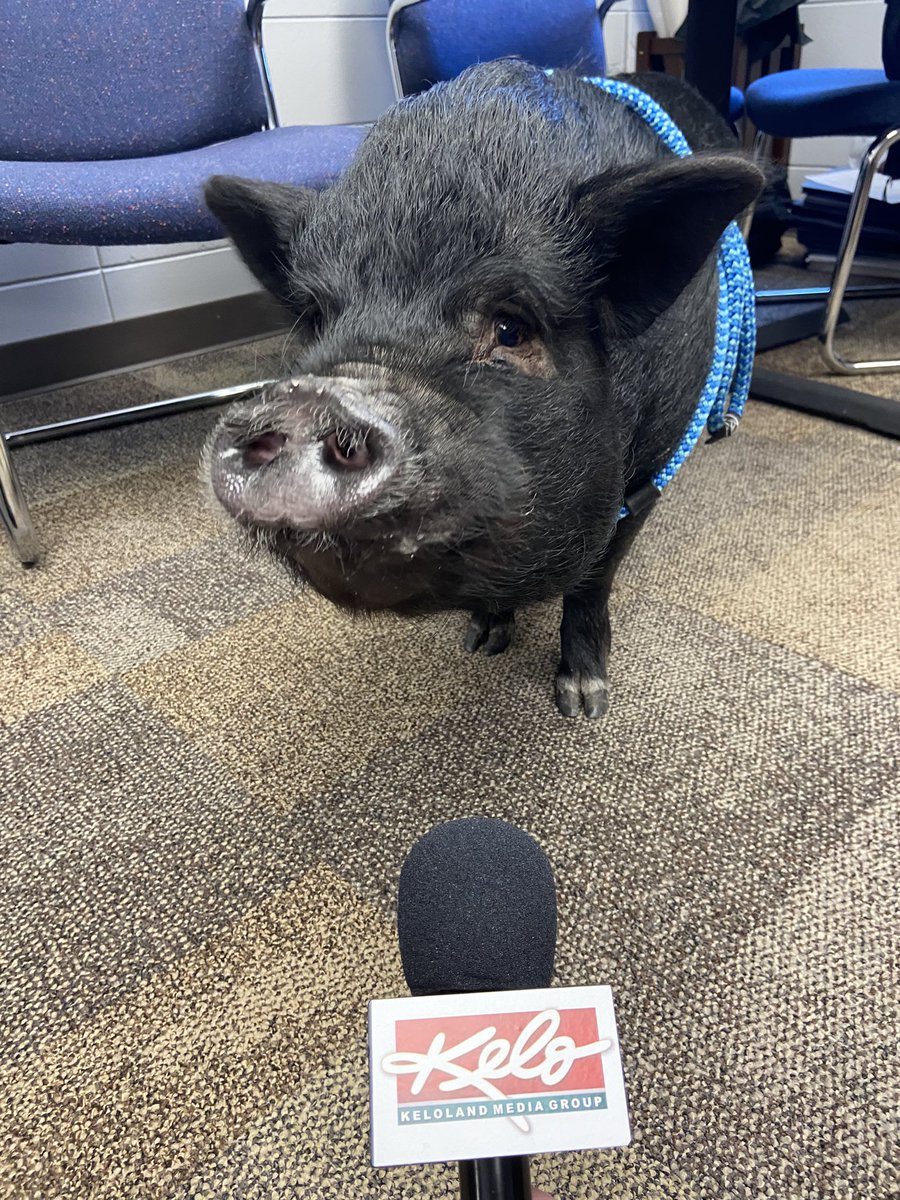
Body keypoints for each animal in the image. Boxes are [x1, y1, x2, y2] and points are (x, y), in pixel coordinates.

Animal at [203, 60, 762, 718]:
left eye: (511, 327)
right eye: (317, 317)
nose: (311, 400)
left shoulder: (653, 467)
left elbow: (596, 575)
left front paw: (582, 703)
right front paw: (482, 640)